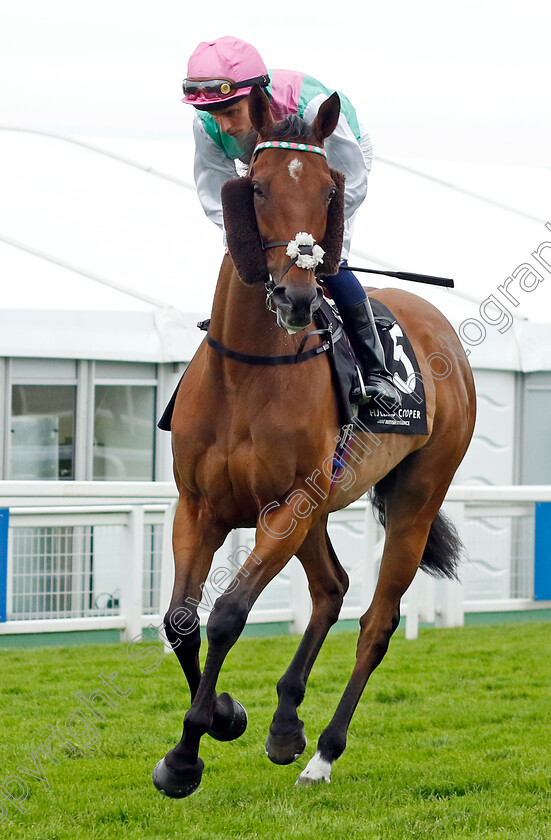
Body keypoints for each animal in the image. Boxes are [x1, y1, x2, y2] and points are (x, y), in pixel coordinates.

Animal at [153, 85, 476, 800]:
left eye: (329, 190)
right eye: (257, 187)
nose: (298, 296)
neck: (249, 371)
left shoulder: (286, 507)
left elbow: (228, 614)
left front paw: (189, 751)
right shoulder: (199, 506)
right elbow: (181, 621)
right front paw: (225, 717)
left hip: (412, 498)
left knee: (376, 623)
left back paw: (323, 751)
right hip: (322, 506)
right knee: (331, 588)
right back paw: (286, 726)